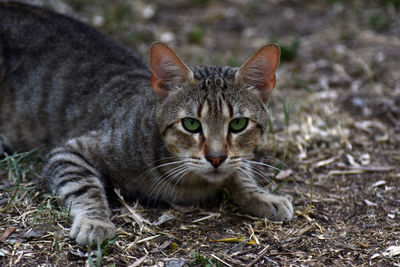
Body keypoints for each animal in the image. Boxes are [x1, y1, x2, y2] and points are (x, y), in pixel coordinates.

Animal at [0, 2, 294, 246]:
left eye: (238, 124)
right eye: (190, 124)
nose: (216, 158)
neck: (190, 184)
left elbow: (241, 170)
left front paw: (263, 196)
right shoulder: (69, 151)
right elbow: (85, 187)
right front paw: (95, 221)